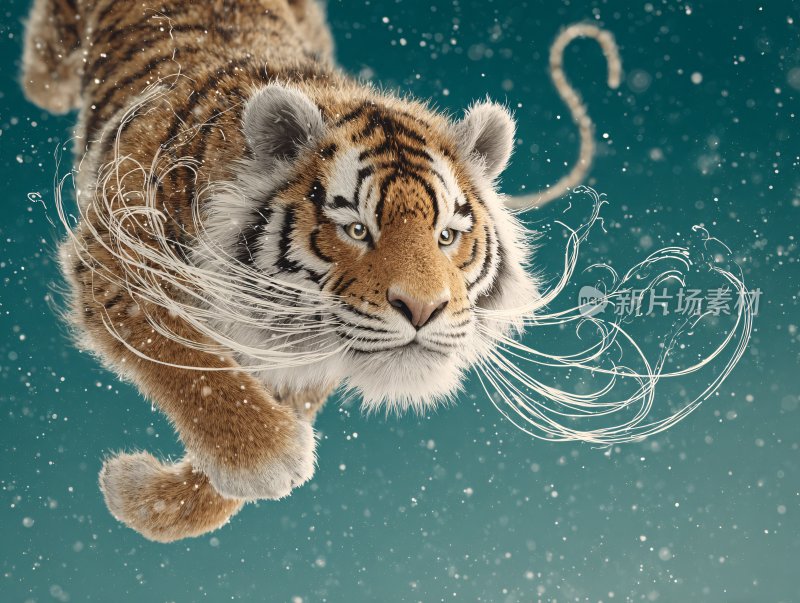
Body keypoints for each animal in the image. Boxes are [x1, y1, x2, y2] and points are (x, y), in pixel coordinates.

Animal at [22, 0, 620, 542]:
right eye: (356, 230)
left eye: (447, 236)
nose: (424, 309)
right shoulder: (117, 257)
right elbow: (189, 359)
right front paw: (265, 457)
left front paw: (145, 493)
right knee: (43, 78)